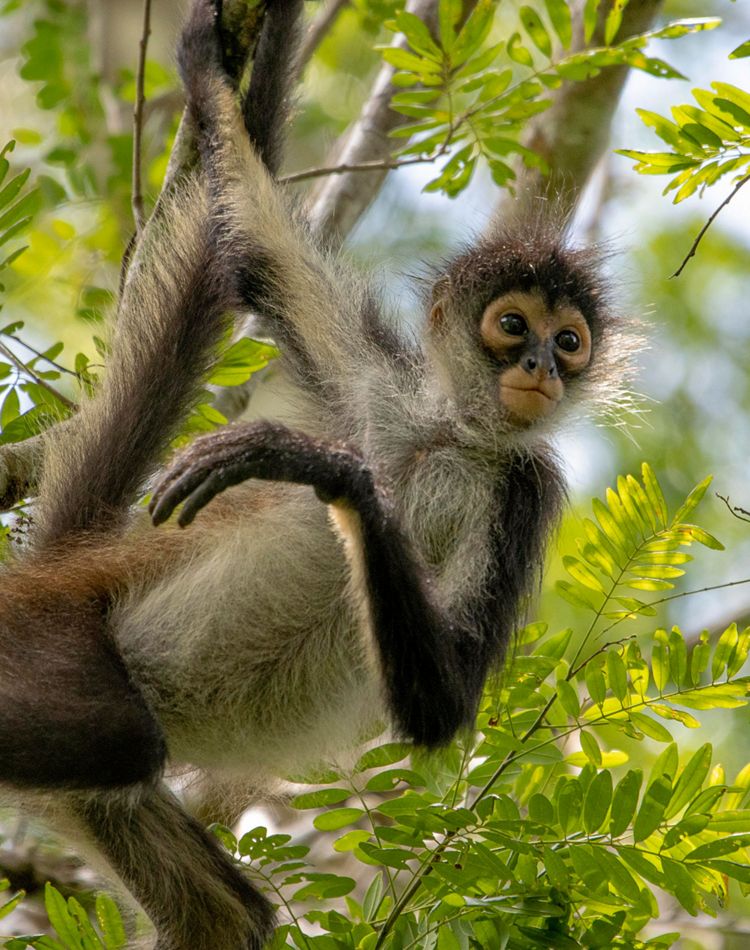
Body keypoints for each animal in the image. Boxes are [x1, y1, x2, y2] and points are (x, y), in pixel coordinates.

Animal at [0, 0, 636, 947]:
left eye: (569, 342)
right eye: (513, 326)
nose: (542, 371)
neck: (447, 439)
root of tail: (62, 574)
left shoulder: (523, 487)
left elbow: (441, 704)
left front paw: (323, 471)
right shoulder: (379, 388)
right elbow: (257, 249)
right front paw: (210, 72)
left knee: (196, 864)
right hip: (54, 640)